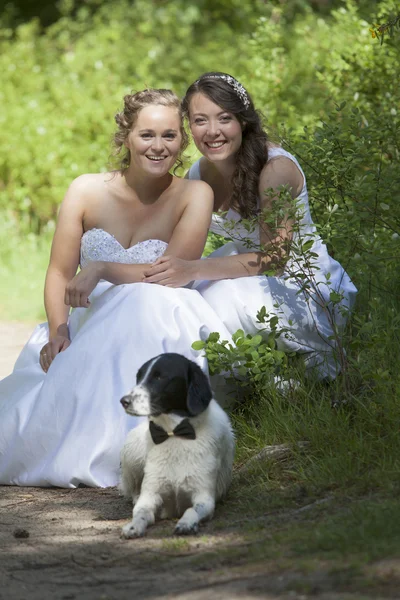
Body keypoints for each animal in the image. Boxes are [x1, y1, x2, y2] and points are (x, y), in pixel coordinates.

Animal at [119, 352, 234, 540]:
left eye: (159, 377)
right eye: (139, 377)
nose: (124, 401)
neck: (173, 434)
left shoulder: (204, 497)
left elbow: (191, 510)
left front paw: (186, 523)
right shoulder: (151, 494)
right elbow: (141, 512)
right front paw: (133, 526)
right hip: (131, 454)